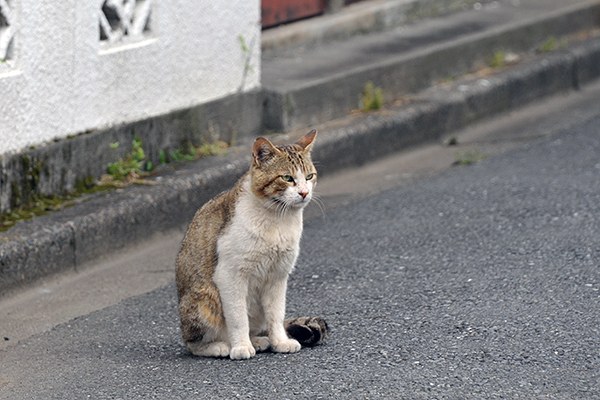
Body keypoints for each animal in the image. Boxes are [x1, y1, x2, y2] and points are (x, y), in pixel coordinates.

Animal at [176, 130, 330, 360]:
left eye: (309, 176)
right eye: (287, 178)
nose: (304, 193)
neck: (278, 220)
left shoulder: (278, 276)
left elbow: (276, 315)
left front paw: (280, 342)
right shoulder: (230, 275)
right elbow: (238, 317)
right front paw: (240, 347)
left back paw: (258, 341)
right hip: (203, 301)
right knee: (193, 343)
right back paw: (222, 346)